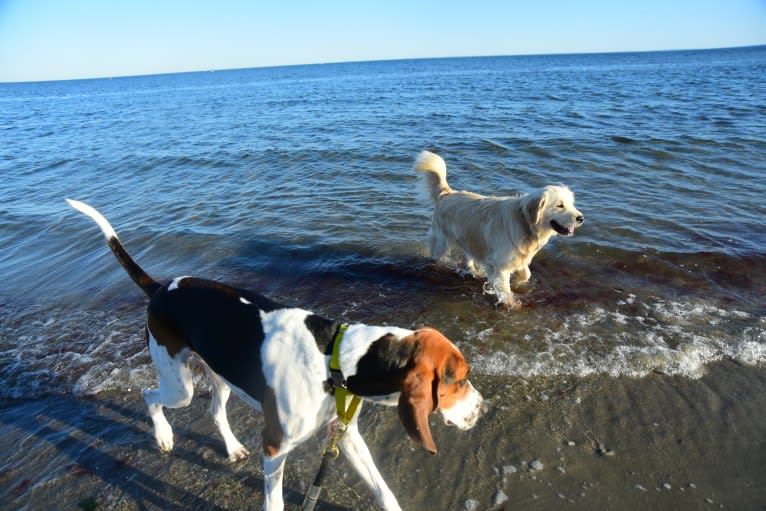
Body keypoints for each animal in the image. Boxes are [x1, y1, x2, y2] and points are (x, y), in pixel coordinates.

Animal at [416, 150, 584, 306]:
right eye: (560, 205)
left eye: (571, 204)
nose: (581, 218)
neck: (525, 223)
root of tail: (447, 193)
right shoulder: (500, 266)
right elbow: (506, 291)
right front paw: (512, 305)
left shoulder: (517, 258)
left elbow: (526, 274)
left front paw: (517, 282)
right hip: (442, 242)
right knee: (435, 255)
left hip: (469, 238)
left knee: (467, 258)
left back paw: (473, 270)